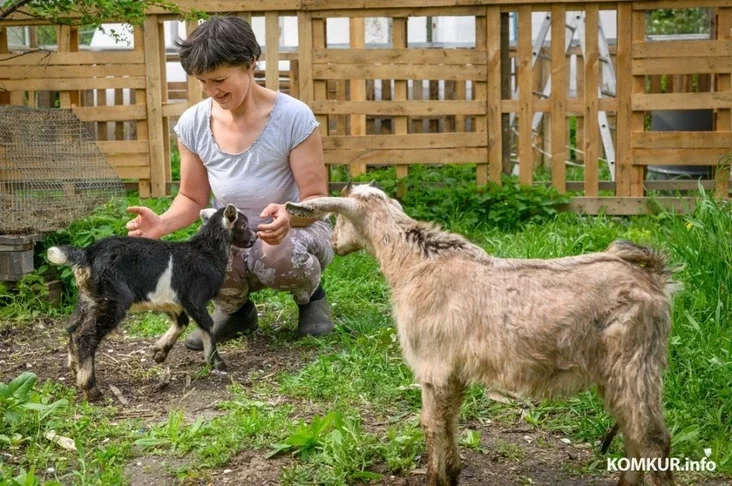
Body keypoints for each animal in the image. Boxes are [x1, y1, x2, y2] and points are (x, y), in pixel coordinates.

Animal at [284, 184, 676, 486]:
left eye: (337, 218)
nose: (336, 243)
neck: (414, 263)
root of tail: (653, 276)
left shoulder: (433, 366)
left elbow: (431, 425)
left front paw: (436, 478)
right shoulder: (452, 374)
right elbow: (450, 421)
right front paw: (453, 472)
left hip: (635, 363)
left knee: (652, 439)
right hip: (616, 372)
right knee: (632, 433)